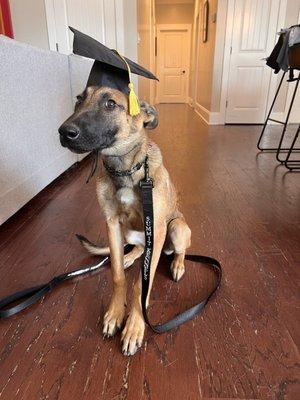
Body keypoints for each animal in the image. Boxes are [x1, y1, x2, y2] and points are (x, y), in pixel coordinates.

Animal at [57, 86, 191, 354]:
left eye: (110, 103)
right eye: (79, 99)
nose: (64, 132)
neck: (124, 169)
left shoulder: (156, 229)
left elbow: (141, 286)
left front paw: (134, 327)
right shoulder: (112, 224)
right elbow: (118, 275)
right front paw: (115, 314)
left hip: (176, 228)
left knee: (178, 250)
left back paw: (177, 265)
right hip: (130, 233)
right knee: (136, 250)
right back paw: (130, 257)